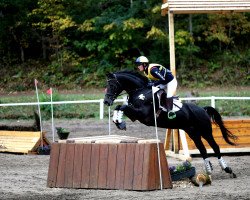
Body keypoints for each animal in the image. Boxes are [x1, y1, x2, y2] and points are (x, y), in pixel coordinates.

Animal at [104, 70, 237, 177]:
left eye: (112, 85)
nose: (106, 101)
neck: (139, 92)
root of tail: (202, 109)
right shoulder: (135, 116)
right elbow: (120, 107)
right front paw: (118, 122)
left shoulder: (142, 114)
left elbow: (122, 106)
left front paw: (120, 123)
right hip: (193, 132)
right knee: (202, 149)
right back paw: (208, 170)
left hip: (205, 131)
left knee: (215, 147)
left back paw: (227, 169)